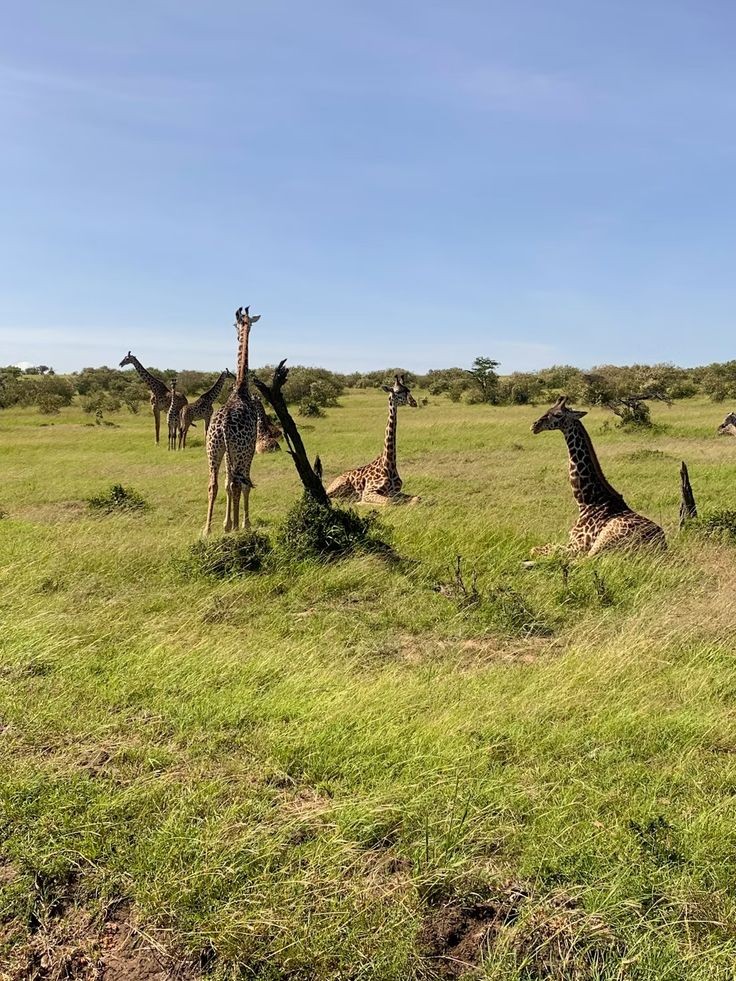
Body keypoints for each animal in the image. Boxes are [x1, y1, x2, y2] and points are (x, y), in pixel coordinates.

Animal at [204, 306, 262, 536]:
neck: (240, 388)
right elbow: (242, 484)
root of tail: (222, 425)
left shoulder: (231, 453)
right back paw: (238, 527)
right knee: (238, 483)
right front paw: (243, 523)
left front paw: (226, 524)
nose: (238, 334)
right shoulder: (249, 449)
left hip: (214, 449)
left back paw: (206, 529)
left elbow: (228, 483)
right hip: (238, 450)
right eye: (235, 325)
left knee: (214, 484)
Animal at [328, 372, 420, 502]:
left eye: (409, 390)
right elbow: (388, 501)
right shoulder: (368, 491)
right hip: (340, 484)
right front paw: (362, 503)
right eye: (397, 391)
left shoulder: (395, 491)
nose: (413, 402)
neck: (389, 464)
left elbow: (417, 498)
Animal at [528, 392, 668, 560]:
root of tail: (662, 546)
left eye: (558, 414)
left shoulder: (578, 545)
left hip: (605, 540)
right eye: (548, 409)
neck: (586, 501)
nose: (534, 426)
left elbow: (536, 549)